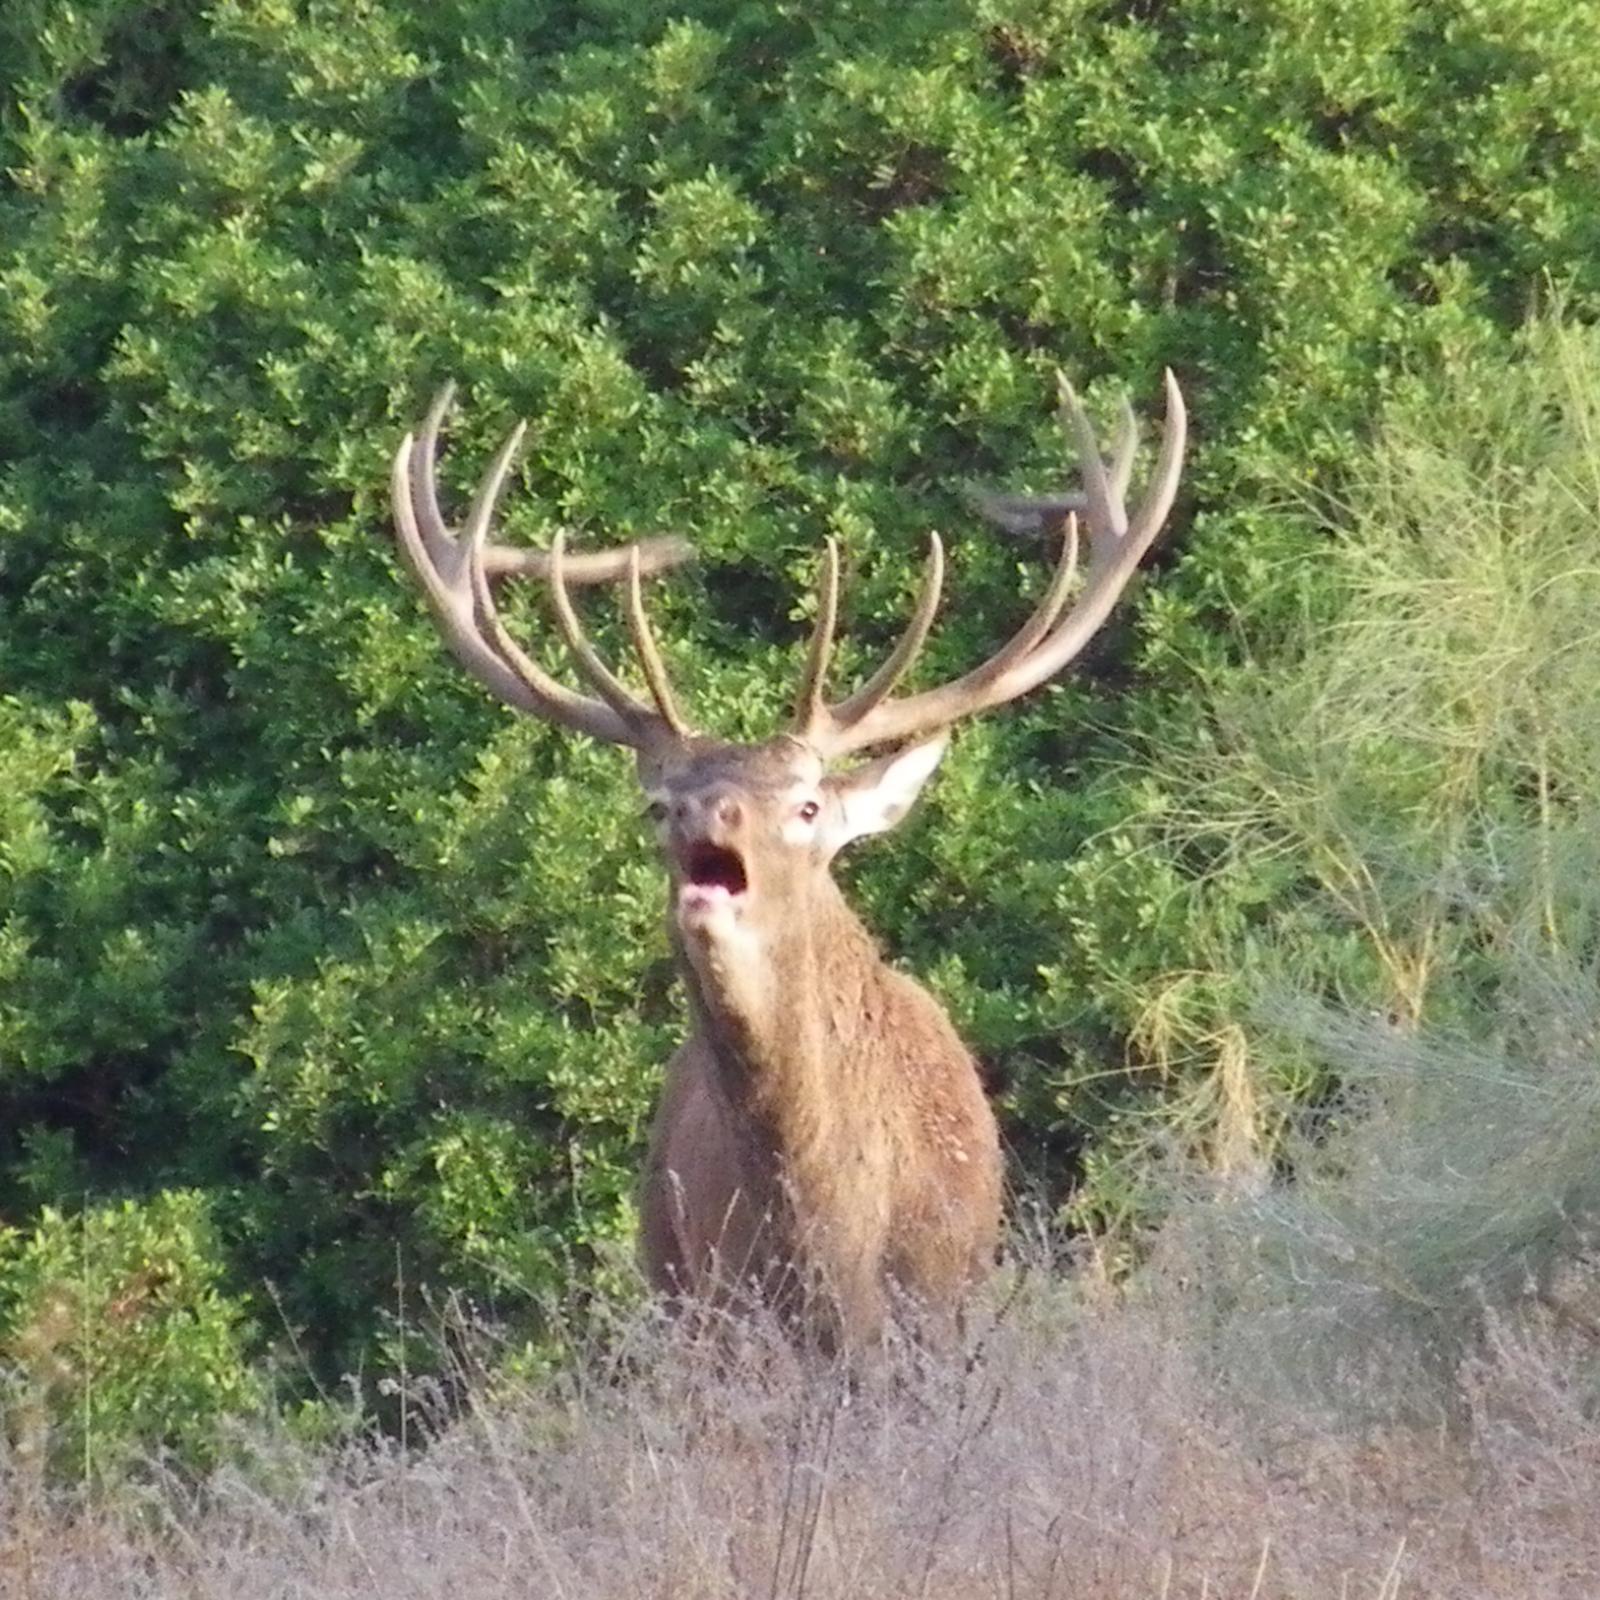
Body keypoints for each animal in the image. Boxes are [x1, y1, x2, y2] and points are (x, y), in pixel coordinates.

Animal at [388, 371, 1187, 1354]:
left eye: (807, 807)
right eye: (657, 805)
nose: (706, 809)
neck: (828, 1240)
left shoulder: (940, 1309)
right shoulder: (730, 1316)